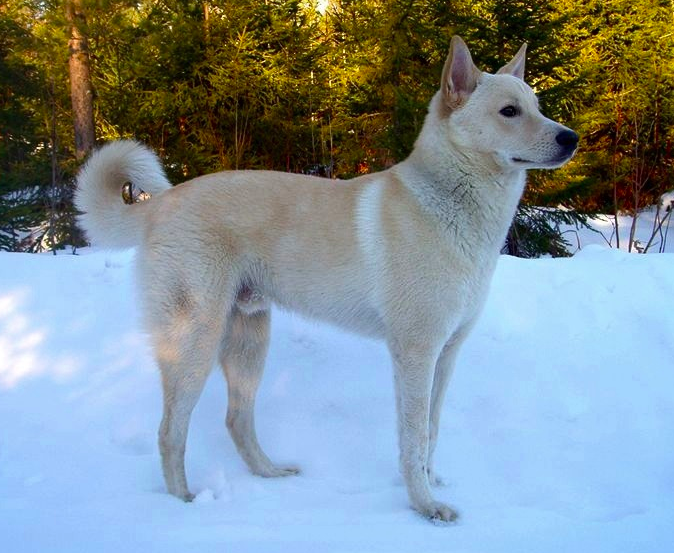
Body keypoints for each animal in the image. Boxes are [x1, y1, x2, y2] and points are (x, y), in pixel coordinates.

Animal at [75, 36, 576, 520]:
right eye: (509, 111)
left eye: (537, 105)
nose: (571, 138)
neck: (447, 203)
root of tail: (161, 204)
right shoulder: (415, 353)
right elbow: (413, 439)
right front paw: (424, 506)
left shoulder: (447, 354)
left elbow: (431, 433)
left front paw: (432, 486)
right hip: (194, 342)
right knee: (170, 431)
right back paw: (183, 505)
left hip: (249, 341)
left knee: (236, 420)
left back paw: (270, 473)